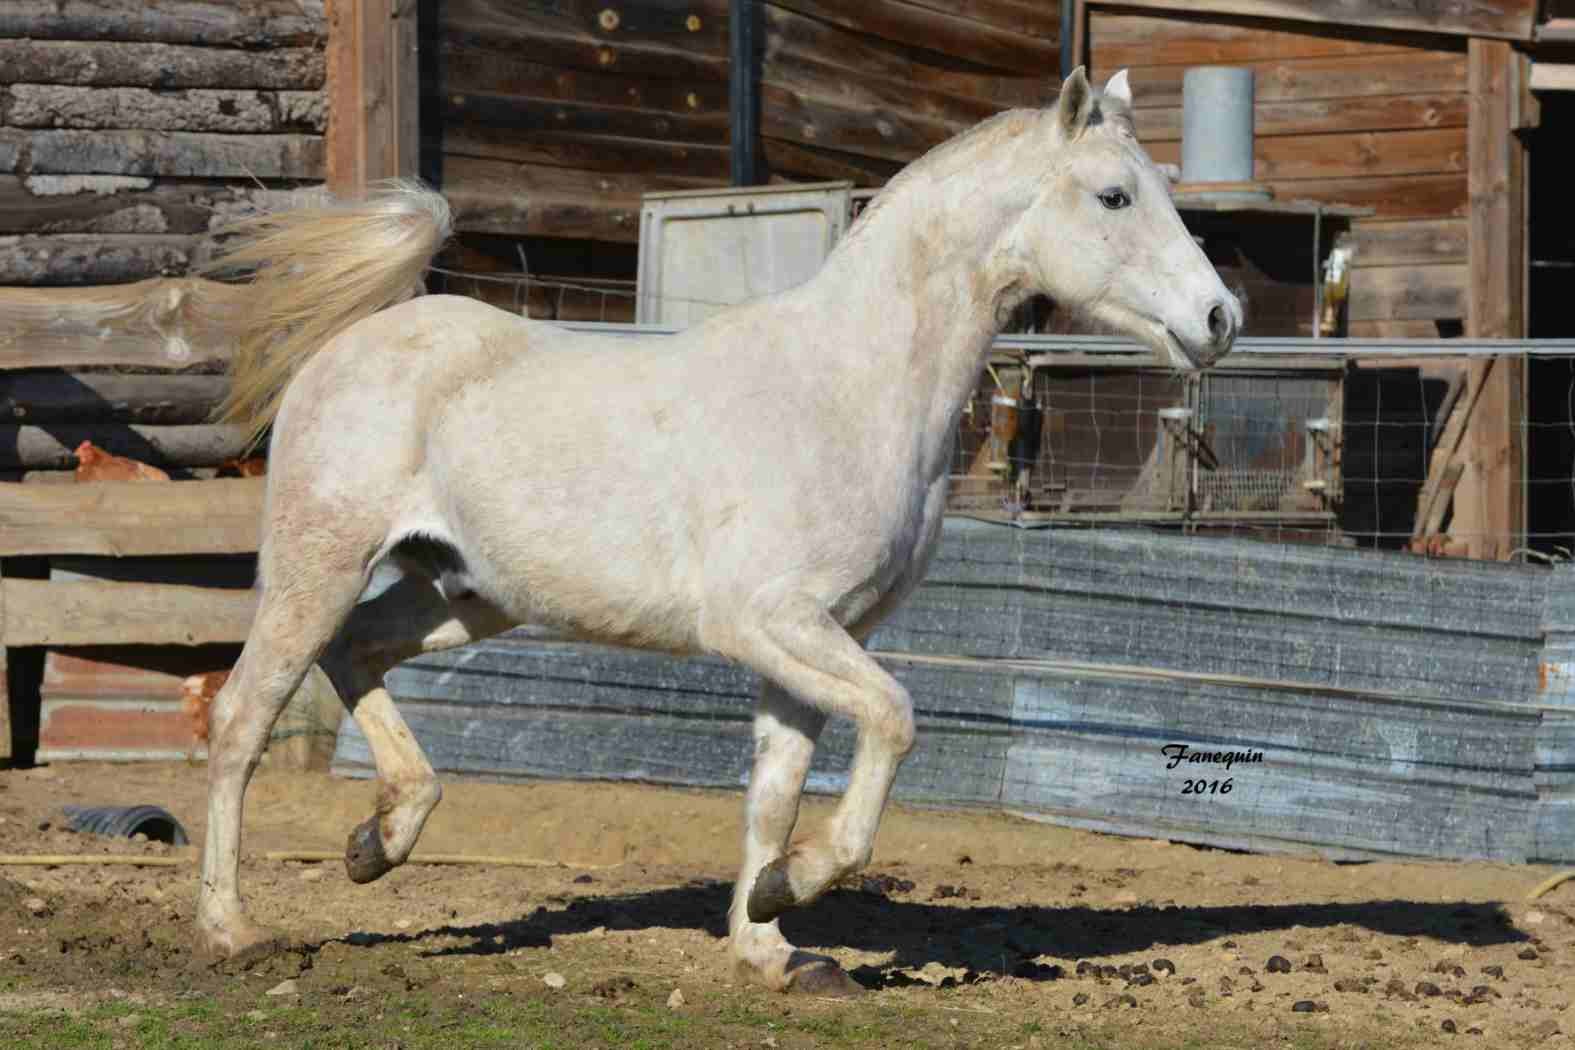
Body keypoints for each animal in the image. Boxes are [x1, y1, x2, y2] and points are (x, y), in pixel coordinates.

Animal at [193, 67, 1228, 994]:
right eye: (1113, 194)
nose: (1220, 318)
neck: (849, 387)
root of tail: (349, 346)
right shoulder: (767, 622)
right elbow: (893, 721)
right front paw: (790, 888)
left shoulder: (819, 637)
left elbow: (774, 790)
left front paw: (771, 944)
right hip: (318, 565)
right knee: (243, 717)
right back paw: (234, 928)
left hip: (464, 593)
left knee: (357, 652)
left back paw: (380, 840)